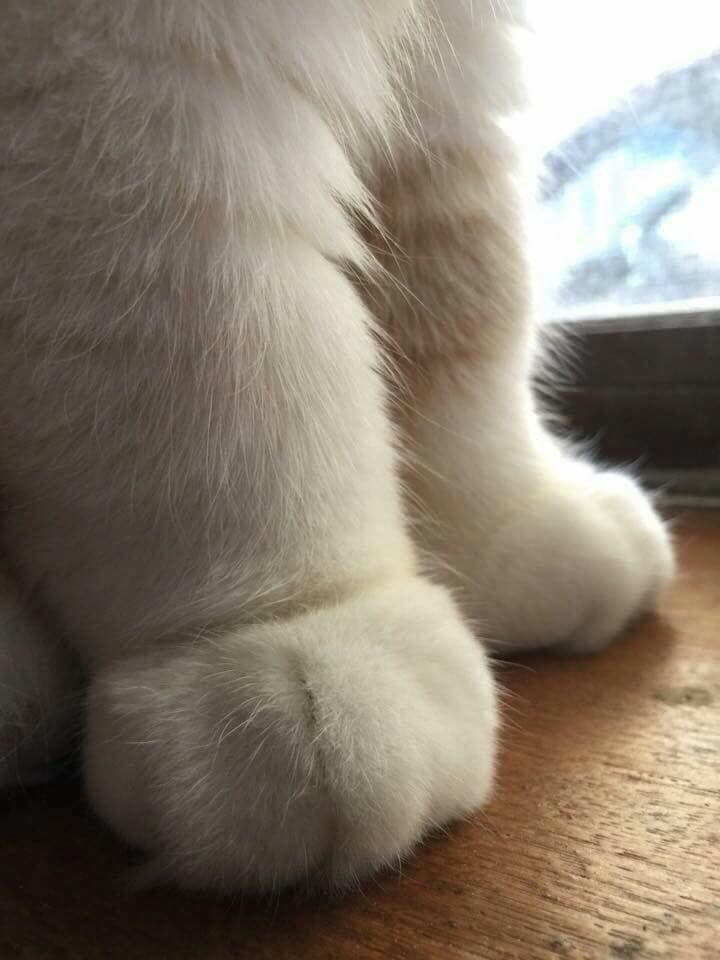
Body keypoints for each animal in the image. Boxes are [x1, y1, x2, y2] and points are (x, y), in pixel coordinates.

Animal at [0, 1, 673, 893]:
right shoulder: (108, 73)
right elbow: (206, 336)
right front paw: (300, 633)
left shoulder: (455, 62)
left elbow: (465, 294)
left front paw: (506, 528)